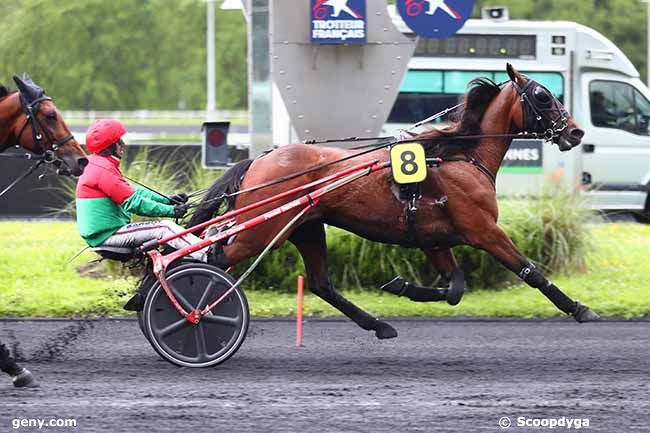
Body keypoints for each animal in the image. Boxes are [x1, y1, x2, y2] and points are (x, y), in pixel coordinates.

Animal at [187, 63, 596, 338]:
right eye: (543, 95)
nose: (576, 131)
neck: (460, 156)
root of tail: (258, 159)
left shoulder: (435, 240)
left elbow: (455, 288)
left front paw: (401, 286)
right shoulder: (483, 230)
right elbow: (531, 272)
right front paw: (580, 308)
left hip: (305, 227)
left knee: (320, 283)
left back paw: (378, 325)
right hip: (262, 230)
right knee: (215, 259)